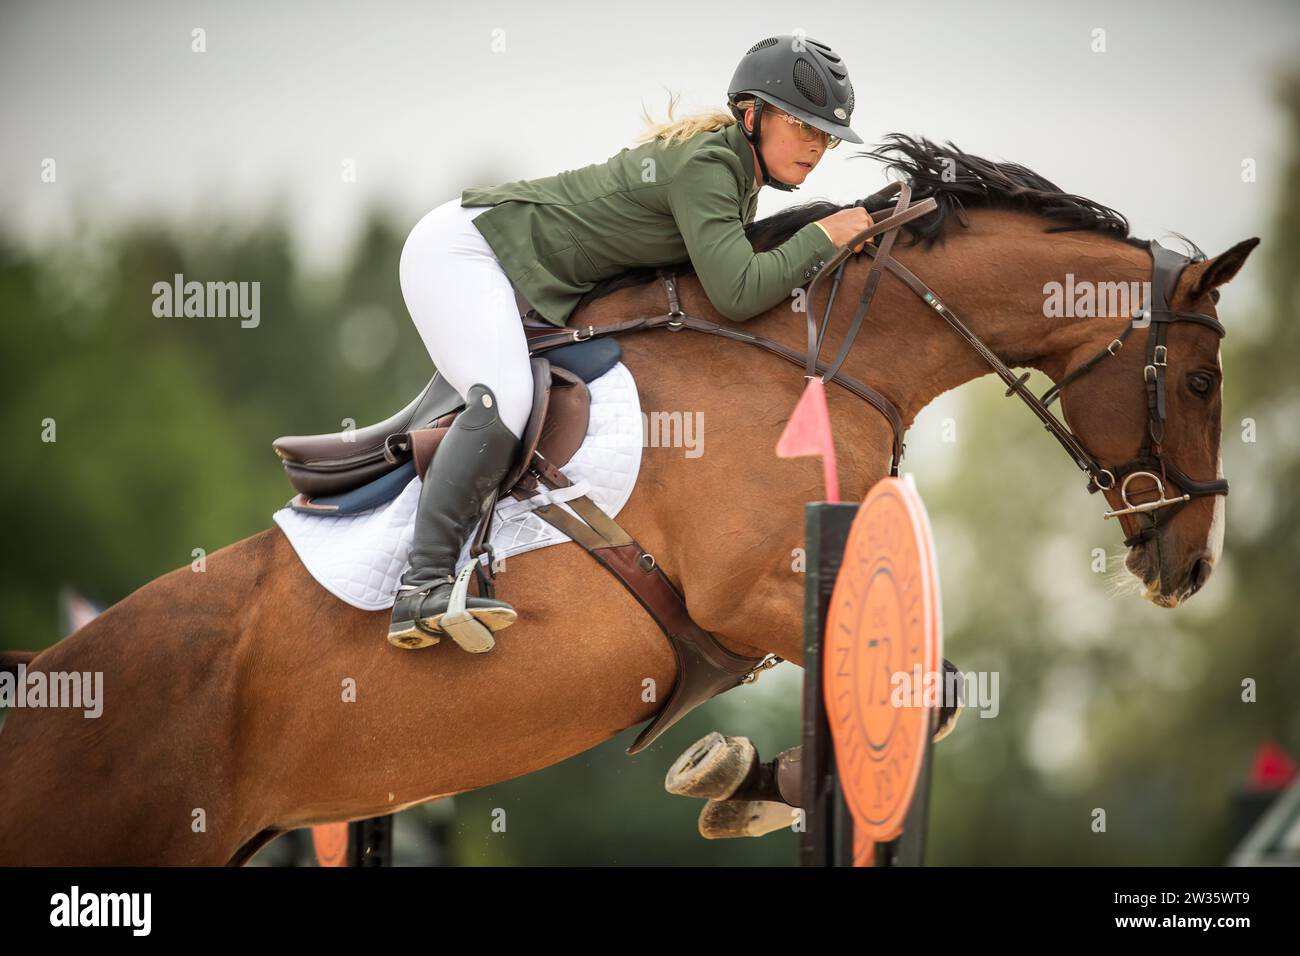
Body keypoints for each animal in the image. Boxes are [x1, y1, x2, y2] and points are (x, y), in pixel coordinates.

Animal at [0, 136, 1258, 868]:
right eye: (1201, 380)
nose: (1189, 565)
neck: (822, 351)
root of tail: (44, 684)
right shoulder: (750, 589)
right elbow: (931, 683)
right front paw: (736, 781)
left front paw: (739, 784)